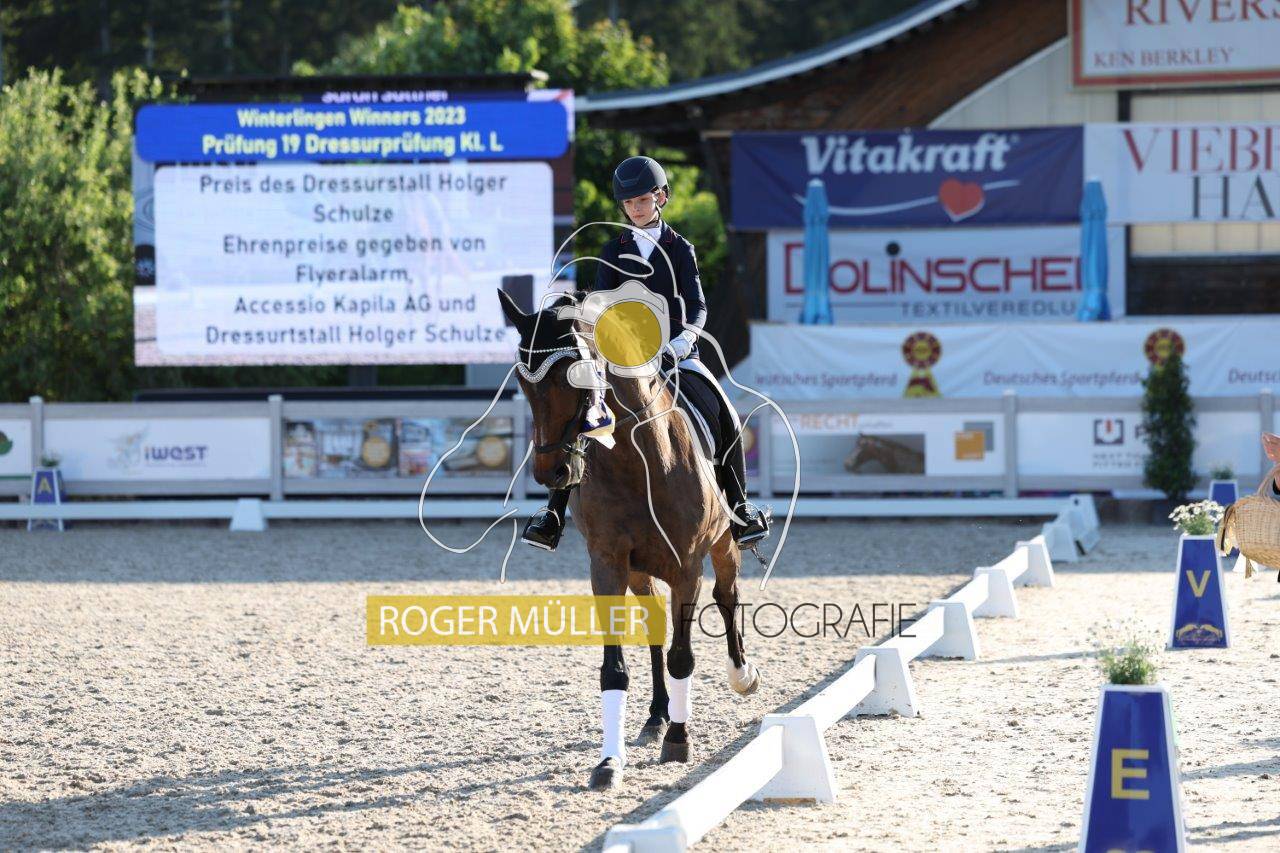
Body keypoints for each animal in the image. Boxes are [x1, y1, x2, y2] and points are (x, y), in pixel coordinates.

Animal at [497, 288, 760, 790]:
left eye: (574, 376)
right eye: (522, 380)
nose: (551, 472)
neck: (638, 460)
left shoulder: (687, 567)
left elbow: (683, 657)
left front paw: (679, 741)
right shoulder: (608, 564)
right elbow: (614, 670)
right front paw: (609, 762)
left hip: (722, 546)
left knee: (727, 595)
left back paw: (741, 677)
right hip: (639, 570)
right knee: (655, 624)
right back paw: (657, 716)